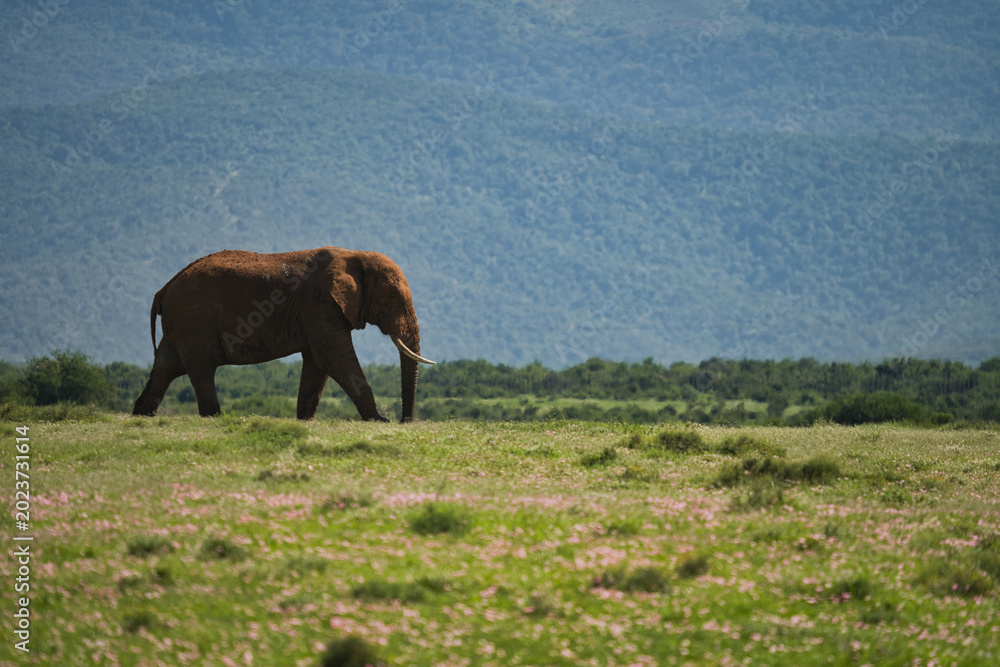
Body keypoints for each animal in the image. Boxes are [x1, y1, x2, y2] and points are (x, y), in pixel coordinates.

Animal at [132, 247, 436, 422]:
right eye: (392, 296)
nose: (403, 422)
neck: (356, 254)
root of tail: (164, 288)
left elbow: (317, 364)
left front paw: (304, 421)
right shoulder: (322, 305)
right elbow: (334, 358)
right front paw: (377, 420)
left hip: (182, 322)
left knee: (166, 367)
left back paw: (141, 415)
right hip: (194, 317)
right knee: (201, 368)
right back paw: (215, 418)